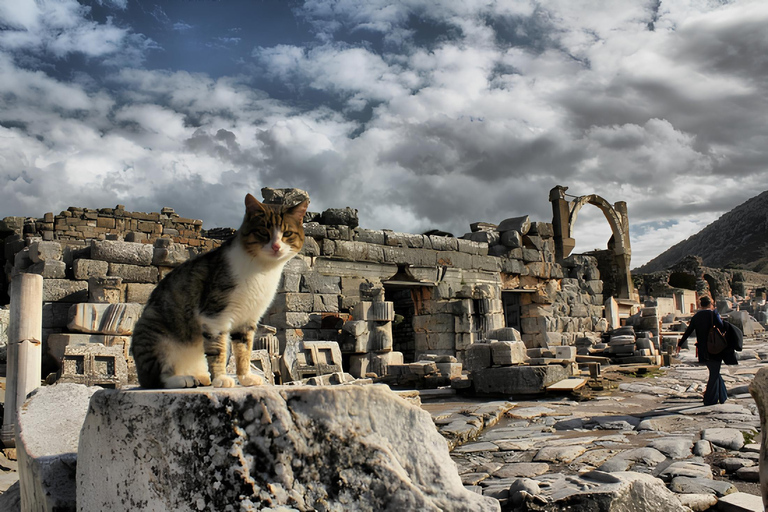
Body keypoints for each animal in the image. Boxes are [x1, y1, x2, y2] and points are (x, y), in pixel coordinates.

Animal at [130, 192, 308, 388]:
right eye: (263, 232)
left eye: (287, 233)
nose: (276, 247)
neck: (262, 269)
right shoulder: (214, 313)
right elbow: (218, 349)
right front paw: (221, 378)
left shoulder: (247, 318)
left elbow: (244, 349)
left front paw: (245, 377)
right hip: (155, 336)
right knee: (155, 378)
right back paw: (181, 379)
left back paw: (201, 377)